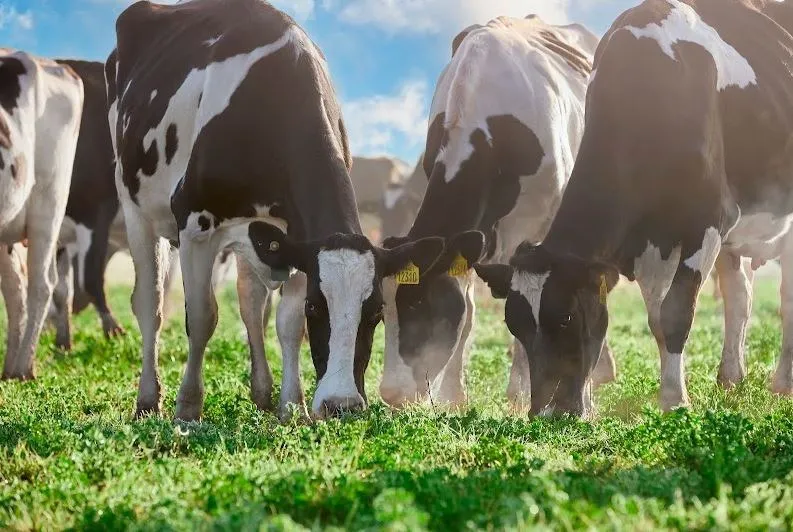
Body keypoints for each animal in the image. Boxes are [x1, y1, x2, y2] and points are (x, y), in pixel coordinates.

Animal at [106, 0, 442, 421]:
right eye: (317, 306)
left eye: (377, 313)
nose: (341, 405)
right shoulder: (196, 223)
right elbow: (201, 316)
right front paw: (188, 406)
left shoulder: (297, 237)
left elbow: (286, 323)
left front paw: (291, 405)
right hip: (135, 205)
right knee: (150, 303)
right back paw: (148, 399)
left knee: (251, 304)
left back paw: (261, 392)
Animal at [378, 16, 604, 409]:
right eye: (382, 312)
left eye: (418, 304)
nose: (392, 394)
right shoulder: (473, 236)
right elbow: (467, 310)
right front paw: (454, 395)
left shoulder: (530, 228)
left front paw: (518, 394)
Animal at [476, 0, 793, 418]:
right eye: (516, 326)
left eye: (567, 316)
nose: (544, 414)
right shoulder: (649, 240)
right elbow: (656, 319)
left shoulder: (708, 220)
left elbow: (676, 312)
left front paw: (674, 400)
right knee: (740, 296)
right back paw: (731, 378)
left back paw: (783, 382)